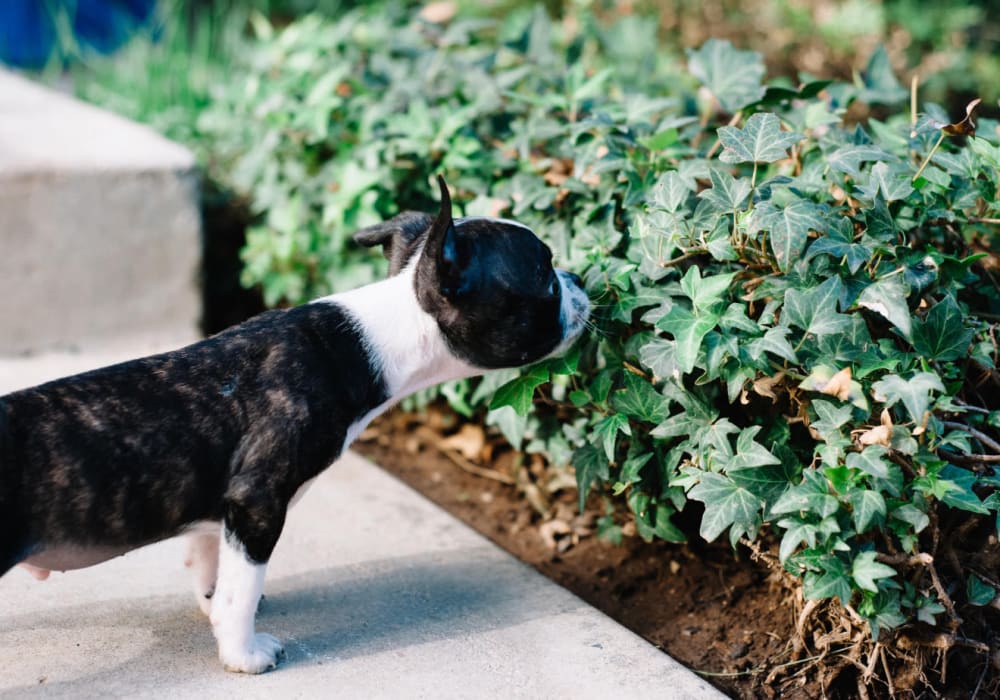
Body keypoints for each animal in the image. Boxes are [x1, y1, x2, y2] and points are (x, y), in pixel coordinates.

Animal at [0, 175, 588, 672]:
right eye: (545, 275)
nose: (580, 279)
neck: (379, 335)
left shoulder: (222, 509)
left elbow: (215, 568)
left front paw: (215, 608)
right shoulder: (256, 500)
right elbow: (240, 591)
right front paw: (243, 653)